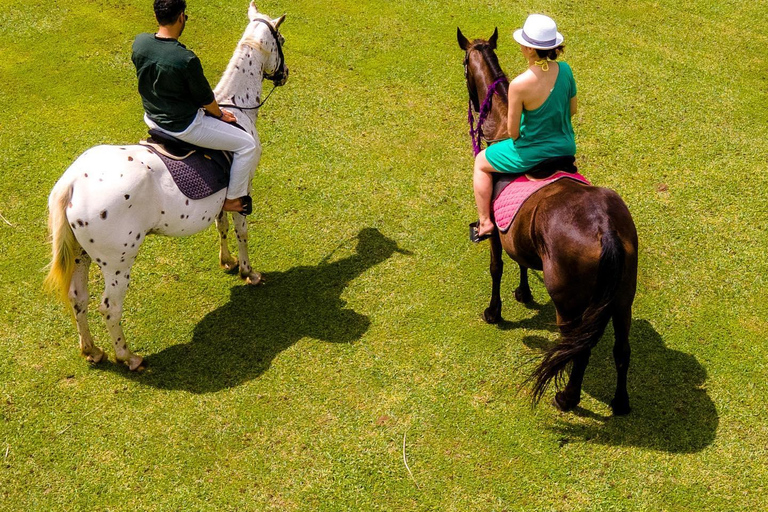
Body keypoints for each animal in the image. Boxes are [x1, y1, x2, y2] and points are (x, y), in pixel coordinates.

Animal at [45, 4, 292, 372]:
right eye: (282, 40)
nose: (285, 73)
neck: (234, 108)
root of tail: (72, 181)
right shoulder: (243, 185)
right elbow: (242, 230)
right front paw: (249, 272)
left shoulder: (222, 198)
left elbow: (221, 225)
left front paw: (228, 262)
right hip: (118, 263)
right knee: (109, 307)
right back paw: (128, 356)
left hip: (81, 255)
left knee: (79, 299)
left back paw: (92, 350)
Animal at [460, 28, 640, 414]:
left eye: (464, 63)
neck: (502, 125)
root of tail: (605, 229)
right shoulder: (516, 231)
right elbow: (521, 261)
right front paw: (524, 292)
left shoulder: (495, 231)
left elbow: (497, 266)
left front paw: (494, 311)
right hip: (622, 299)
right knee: (621, 350)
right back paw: (620, 402)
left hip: (570, 307)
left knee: (580, 350)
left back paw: (568, 398)